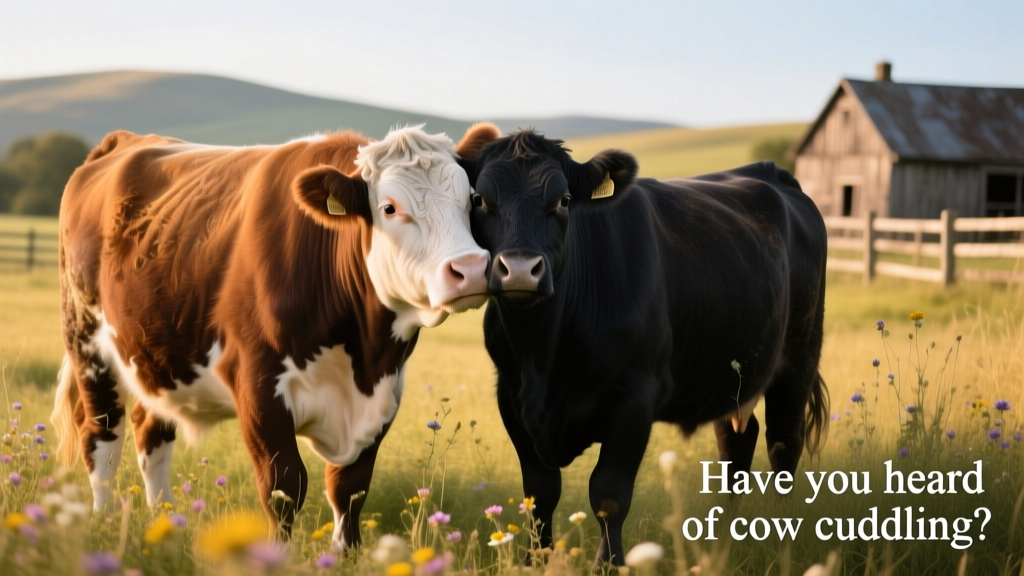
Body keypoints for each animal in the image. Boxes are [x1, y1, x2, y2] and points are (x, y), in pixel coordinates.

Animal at [51, 123, 500, 549]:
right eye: (390, 208)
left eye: (471, 199)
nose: (470, 268)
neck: (363, 352)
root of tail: (123, 141)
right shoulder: (258, 386)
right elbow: (284, 487)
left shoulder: (384, 393)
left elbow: (350, 488)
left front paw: (345, 555)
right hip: (87, 344)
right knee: (102, 438)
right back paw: (105, 523)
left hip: (156, 355)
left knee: (151, 435)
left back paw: (167, 524)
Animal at [456, 131, 829, 565]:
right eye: (479, 199)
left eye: (563, 200)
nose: (519, 270)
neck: (542, 354)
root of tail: (772, 173)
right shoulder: (510, 395)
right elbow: (540, 493)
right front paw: (535, 562)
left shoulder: (635, 395)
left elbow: (608, 493)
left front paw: (609, 564)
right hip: (730, 371)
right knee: (736, 443)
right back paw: (725, 534)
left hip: (798, 357)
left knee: (783, 445)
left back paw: (781, 535)